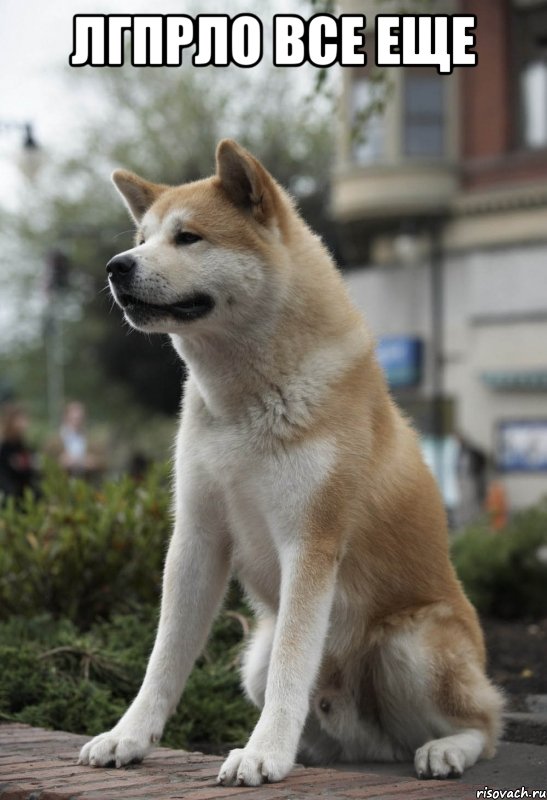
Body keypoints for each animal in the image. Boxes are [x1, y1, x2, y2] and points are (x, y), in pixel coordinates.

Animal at [78, 141, 506, 784]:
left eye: (188, 237)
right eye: (143, 237)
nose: (116, 266)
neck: (244, 403)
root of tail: (371, 745)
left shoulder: (310, 542)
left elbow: (292, 664)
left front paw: (263, 753)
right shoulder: (197, 538)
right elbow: (164, 659)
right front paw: (128, 736)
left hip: (410, 645)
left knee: (485, 725)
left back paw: (445, 749)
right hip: (252, 655)